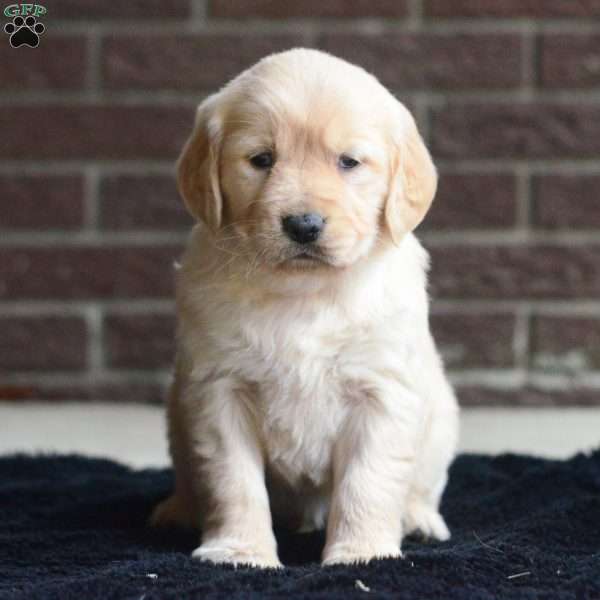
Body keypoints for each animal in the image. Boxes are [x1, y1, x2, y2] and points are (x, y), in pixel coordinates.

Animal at [154, 48, 460, 568]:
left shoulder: (380, 392)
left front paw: (361, 554)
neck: (305, 294)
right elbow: (232, 480)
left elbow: (368, 482)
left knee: (421, 486)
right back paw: (177, 511)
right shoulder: (220, 392)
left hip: (441, 419)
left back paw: (419, 519)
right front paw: (240, 552)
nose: (304, 224)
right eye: (261, 159)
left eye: (348, 162)